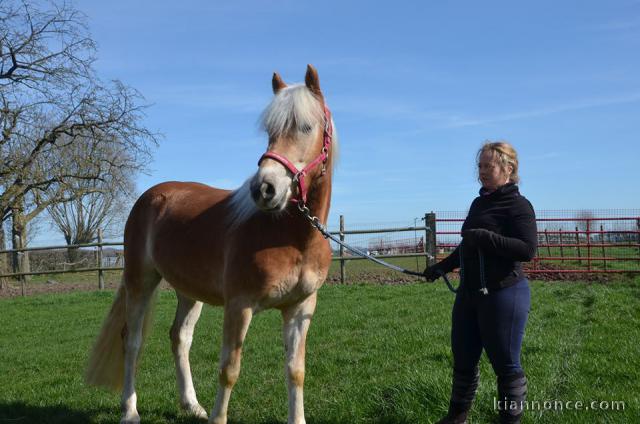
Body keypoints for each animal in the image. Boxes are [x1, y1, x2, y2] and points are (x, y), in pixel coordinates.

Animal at [87, 63, 338, 424]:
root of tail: (151, 196)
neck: (293, 239)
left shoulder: (300, 309)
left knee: (179, 338)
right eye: (269, 131)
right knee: (131, 341)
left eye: (305, 127)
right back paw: (130, 410)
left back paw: (191, 405)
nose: (264, 189)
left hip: (189, 292)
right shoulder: (239, 306)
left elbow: (296, 371)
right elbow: (229, 370)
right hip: (140, 282)